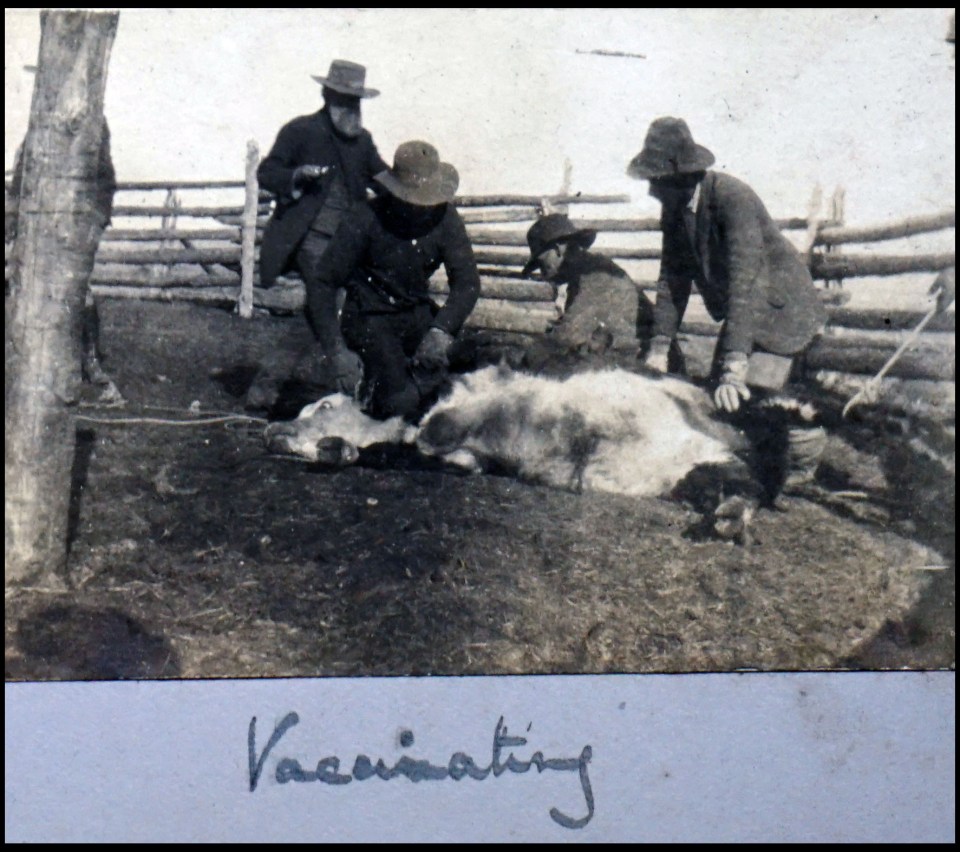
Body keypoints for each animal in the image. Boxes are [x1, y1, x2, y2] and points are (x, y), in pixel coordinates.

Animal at [262, 362, 752, 506]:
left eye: (325, 405)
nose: (272, 429)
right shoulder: (469, 456)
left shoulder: (464, 404)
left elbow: (431, 434)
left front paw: (333, 446)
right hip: (689, 466)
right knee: (735, 479)